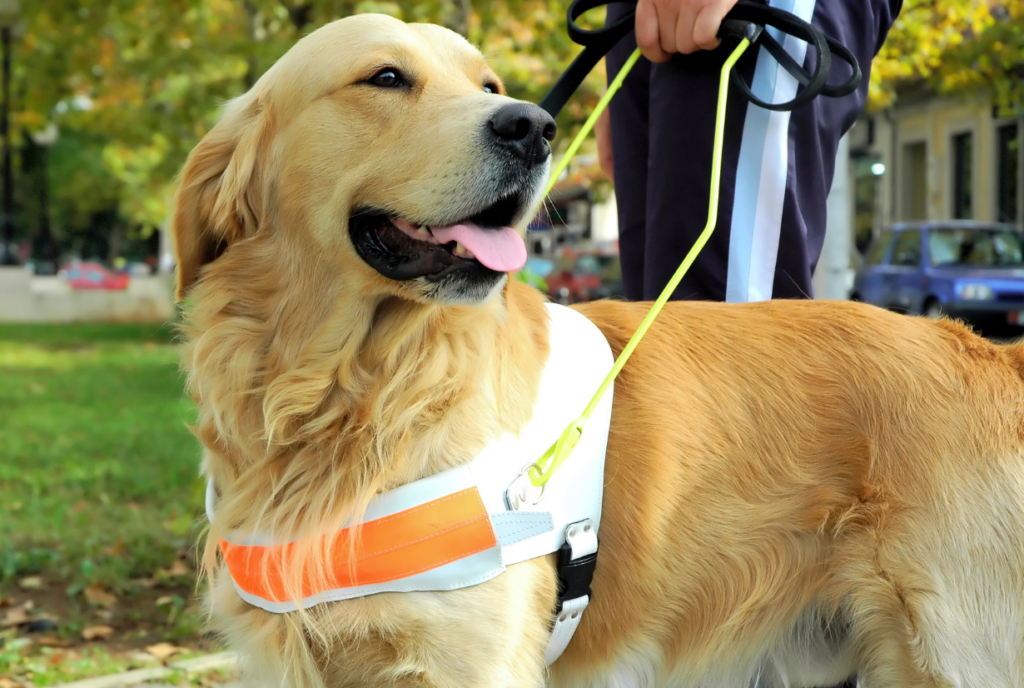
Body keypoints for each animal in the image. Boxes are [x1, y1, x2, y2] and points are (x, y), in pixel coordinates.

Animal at [172, 12, 1024, 688]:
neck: (352, 393)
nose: (531, 126)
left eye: (489, 83)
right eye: (384, 77)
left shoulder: (470, 665)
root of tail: (991, 354)